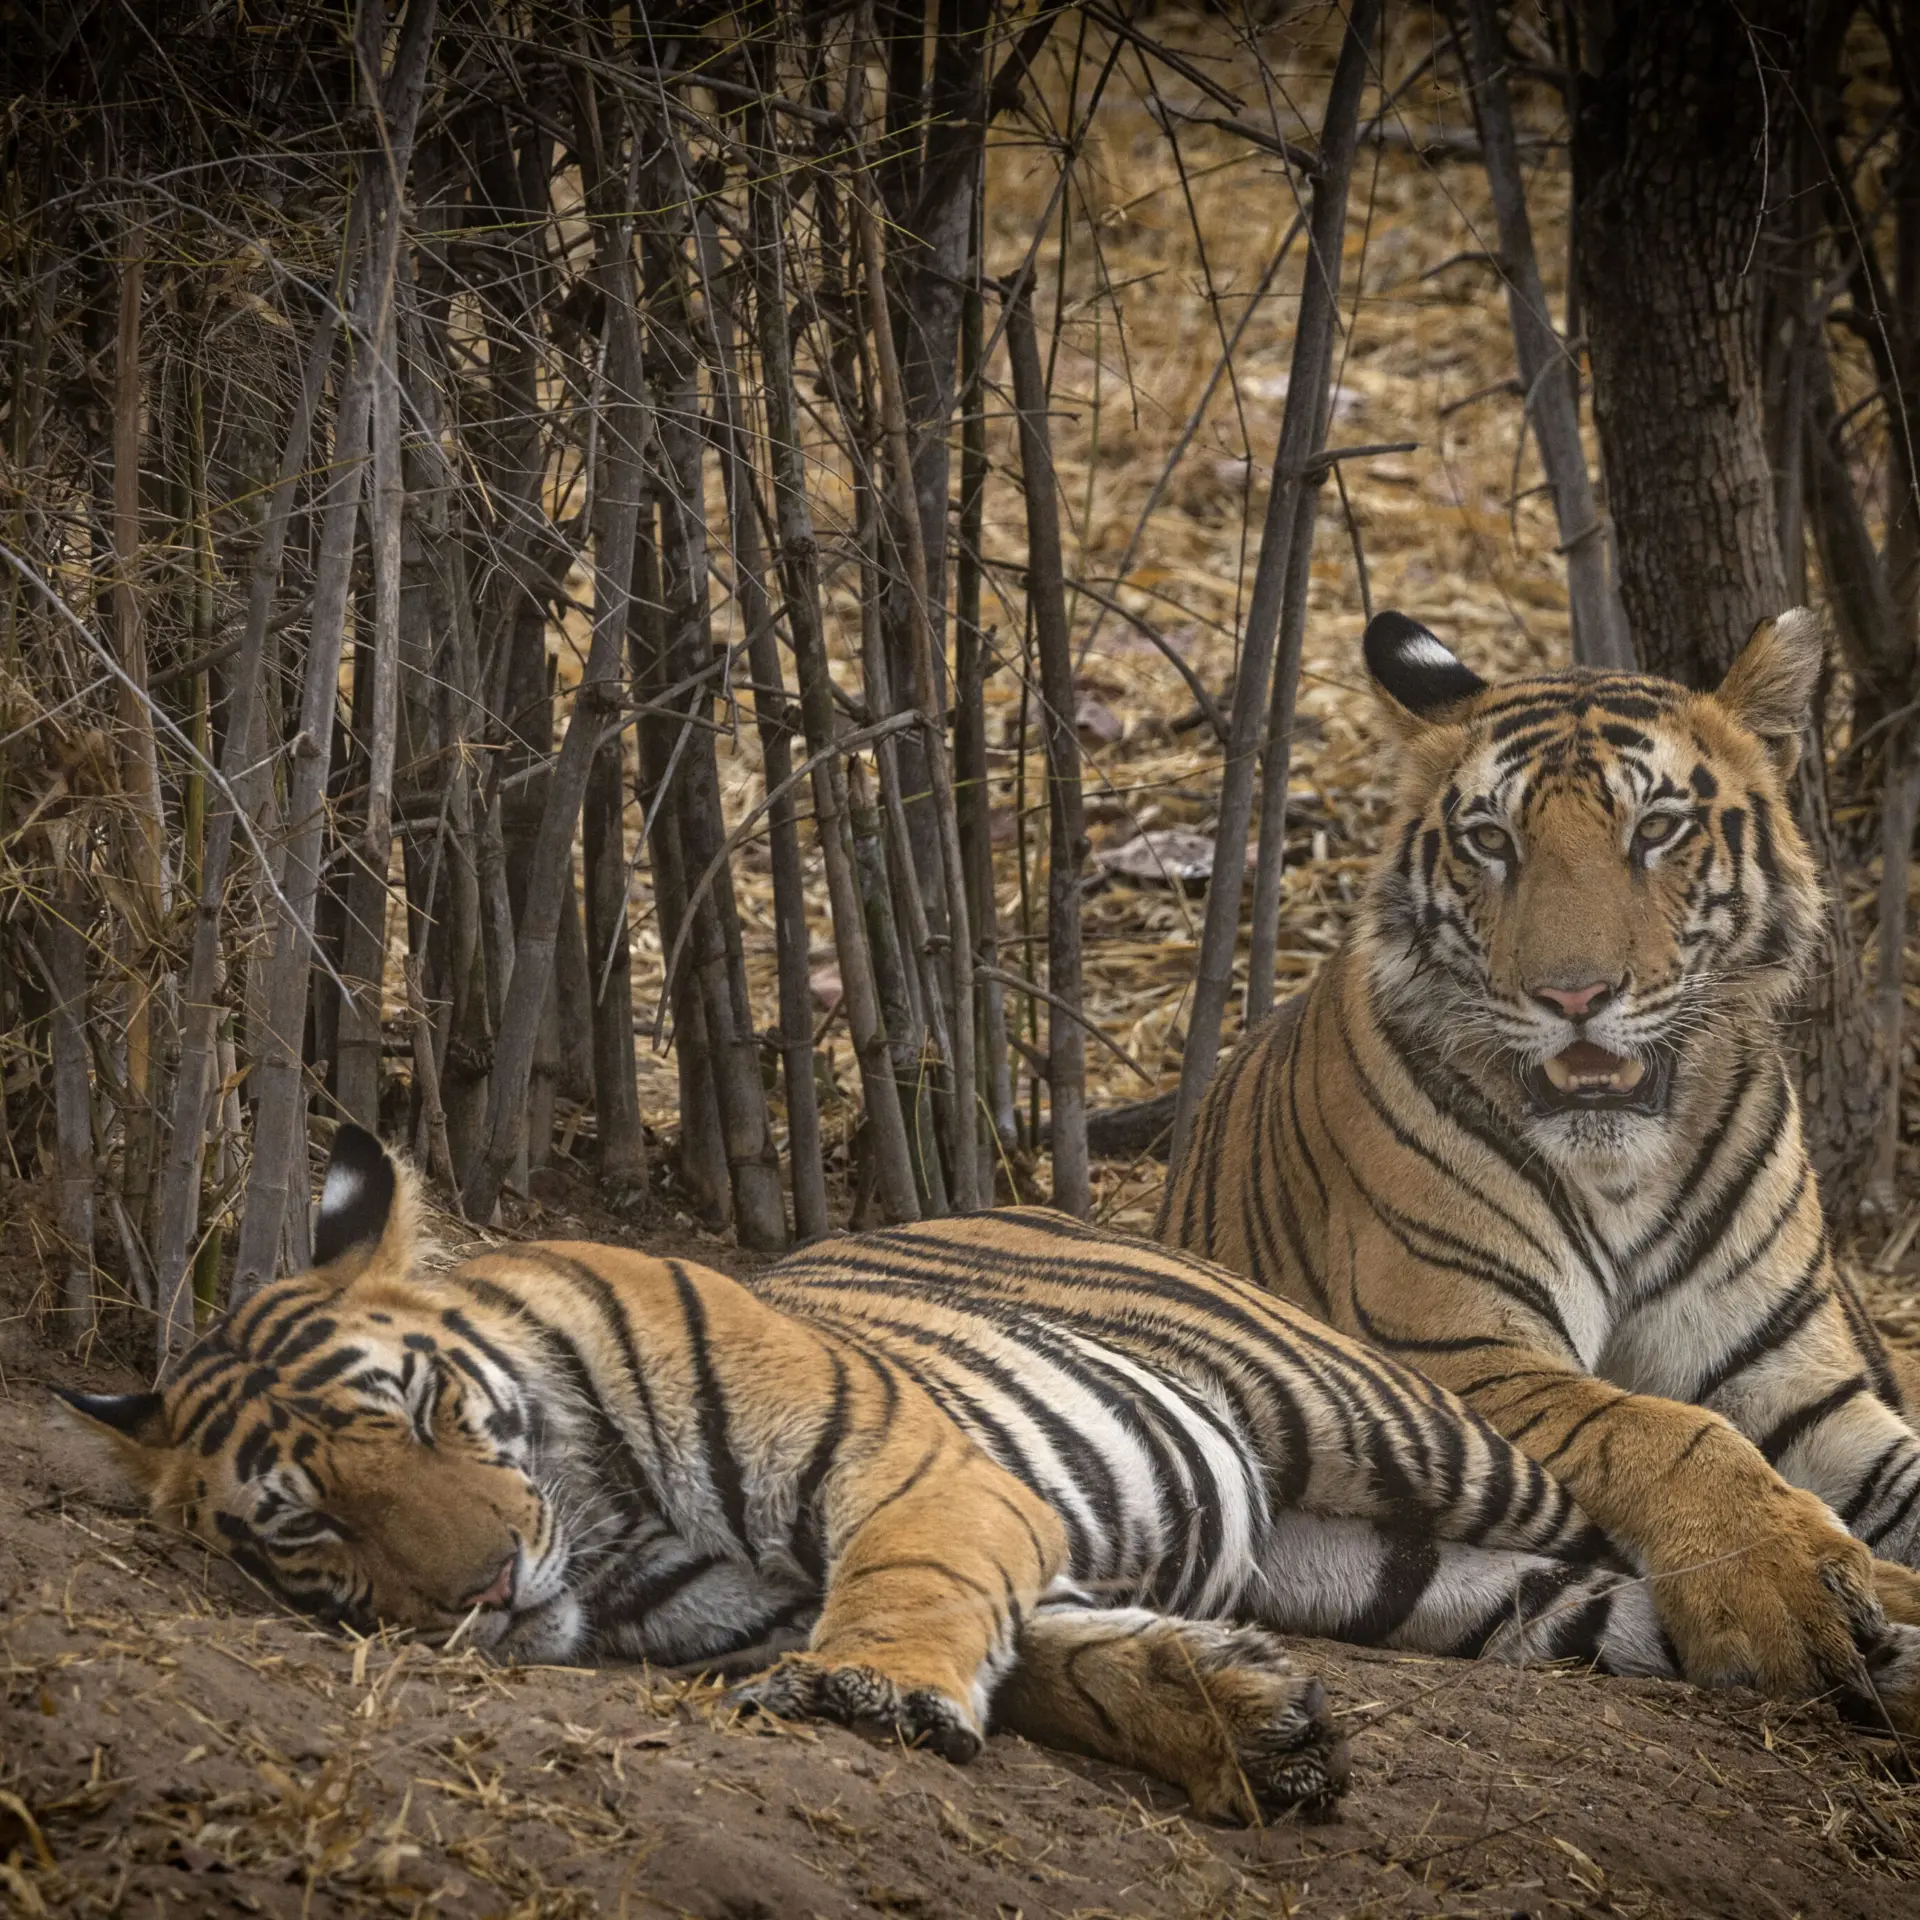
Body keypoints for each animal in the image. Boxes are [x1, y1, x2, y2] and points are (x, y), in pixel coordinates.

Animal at [60, 1123, 1857, 1826]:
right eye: (311, 1526)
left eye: (432, 1407)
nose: (491, 1587)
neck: (604, 1534)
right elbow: (1065, 1659)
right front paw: (1236, 1717)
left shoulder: (921, 1470)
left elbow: (918, 1592)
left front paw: (875, 1700)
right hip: (1429, 1579)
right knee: (1603, 1607)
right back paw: (1857, 1659)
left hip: (1396, 1422)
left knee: (1667, 1448)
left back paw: (1818, 1598)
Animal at [1161, 604, 1920, 1728]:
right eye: (1492, 841)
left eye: (1656, 830)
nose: (1575, 997)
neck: (1627, 1172)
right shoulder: (1454, 1348)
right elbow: (1659, 1429)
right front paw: (1788, 1588)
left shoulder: (1794, 1380)